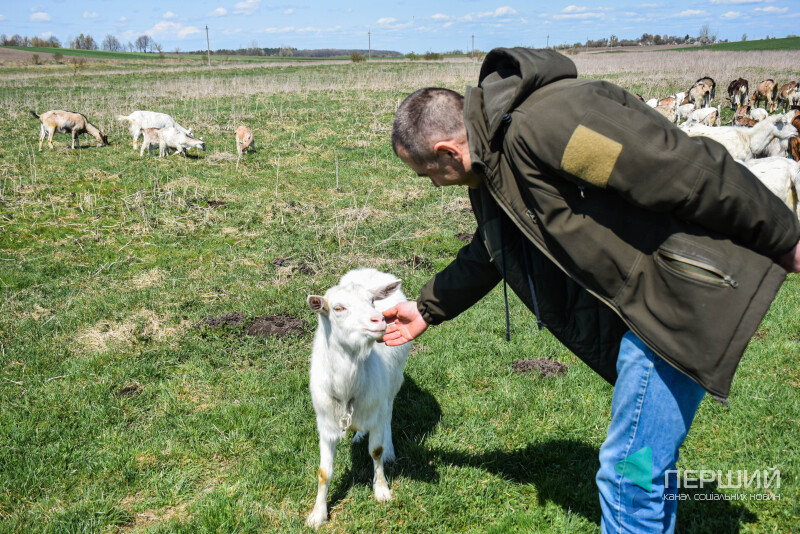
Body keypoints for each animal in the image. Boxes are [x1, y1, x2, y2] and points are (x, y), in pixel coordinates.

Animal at [306, 268, 411, 530]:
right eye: (338, 308)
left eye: (372, 301)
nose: (379, 320)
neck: (347, 390)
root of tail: (370, 271)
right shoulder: (325, 424)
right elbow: (323, 471)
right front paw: (317, 514)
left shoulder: (377, 407)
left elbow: (376, 451)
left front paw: (382, 490)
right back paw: (358, 435)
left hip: (394, 381)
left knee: (389, 413)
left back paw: (390, 450)